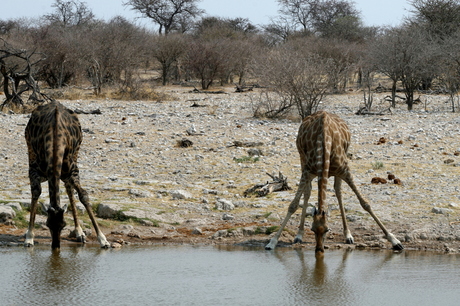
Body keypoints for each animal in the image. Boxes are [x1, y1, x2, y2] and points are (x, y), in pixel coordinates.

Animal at [24, 100, 111, 249]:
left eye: (63, 225)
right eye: (48, 224)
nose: (56, 247)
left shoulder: (73, 171)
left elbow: (83, 195)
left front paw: (103, 239)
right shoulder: (33, 170)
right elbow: (36, 192)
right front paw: (29, 237)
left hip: (74, 157)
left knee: (69, 189)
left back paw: (79, 232)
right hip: (30, 149)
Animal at [264, 111, 404, 252]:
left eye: (327, 230)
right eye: (312, 229)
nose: (319, 249)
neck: (324, 144)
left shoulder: (345, 170)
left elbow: (365, 203)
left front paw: (395, 241)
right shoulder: (307, 172)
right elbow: (293, 205)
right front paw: (273, 242)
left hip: (342, 161)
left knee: (338, 191)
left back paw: (348, 235)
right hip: (302, 159)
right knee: (308, 192)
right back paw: (299, 235)